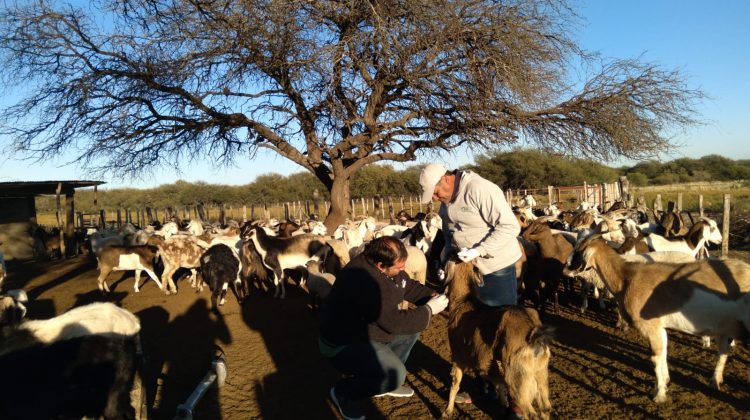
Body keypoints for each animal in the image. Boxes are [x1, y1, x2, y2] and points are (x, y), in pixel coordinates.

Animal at [444, 260, 556, 420]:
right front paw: (503, 408)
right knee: (546, 407)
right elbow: (498, 385)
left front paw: (447, 410)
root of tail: (534, 335)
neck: (462, 302)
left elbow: (455, 382)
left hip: (517, 377)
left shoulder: (458, 355)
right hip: (540, 373)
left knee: (531, 413)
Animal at [568, 235, 750, 402]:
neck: (627, 277)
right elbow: (663, 354)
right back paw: (715, 381)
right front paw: (665, 382)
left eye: (578, 251)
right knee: (723, 351)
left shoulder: (651, 327)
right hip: (724, 326)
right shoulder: (660, 328)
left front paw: (659, 394)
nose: (566, 269)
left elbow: (655, 358)